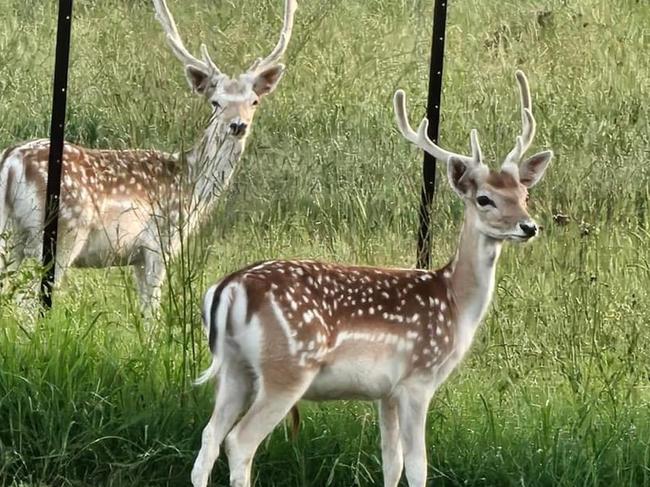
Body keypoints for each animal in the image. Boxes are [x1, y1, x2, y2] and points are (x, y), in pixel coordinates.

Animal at [0, 0, 298, 312]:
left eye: (254, 101)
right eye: (216, 102)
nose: (238, 126)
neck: (190, 186)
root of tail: (12, 162)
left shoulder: (137, 257)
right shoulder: (158, 244)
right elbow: (151, 310)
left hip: (11, 233)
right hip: (60, 233)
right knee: (28, 299)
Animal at [189, 69, 552, 487]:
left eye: (524, 194)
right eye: (484, 199)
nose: (529, 226)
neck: (455, 302)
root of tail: (229, 288)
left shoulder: (385, 392)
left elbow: (391, 461)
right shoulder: (417, 379)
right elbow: (417, 465)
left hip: (235, 367)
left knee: (209, 438)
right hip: (287, 368)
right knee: (239, 442)